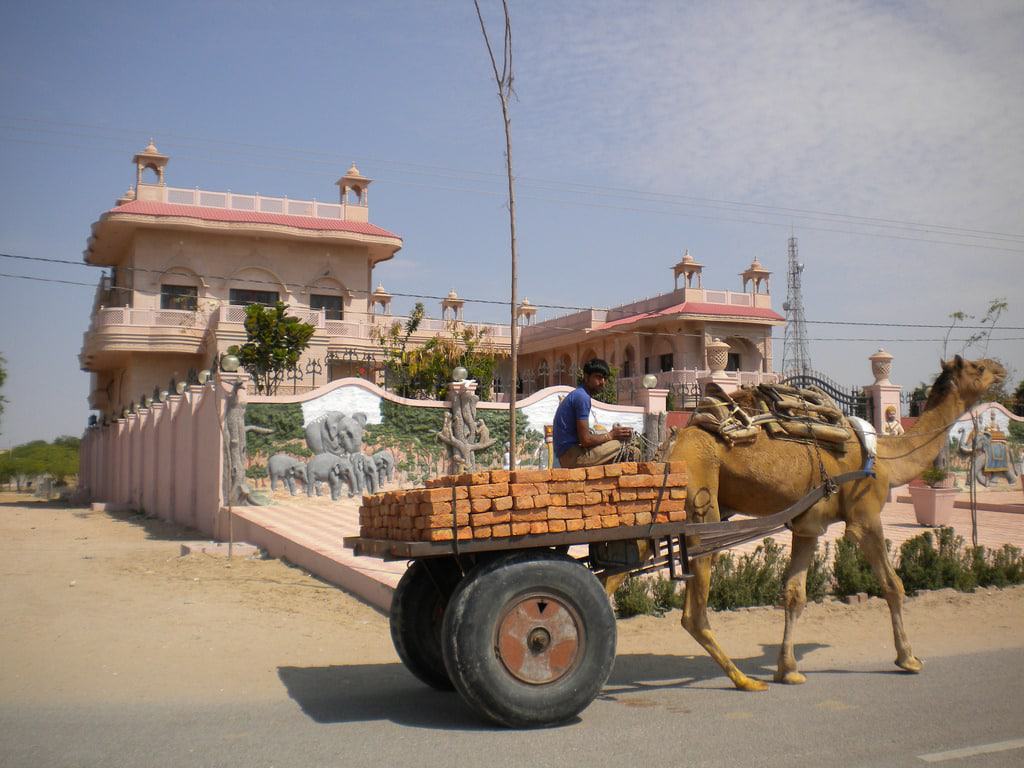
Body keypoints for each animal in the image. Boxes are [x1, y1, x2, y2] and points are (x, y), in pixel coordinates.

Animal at [663, 358, 1007, 696]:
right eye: (977, 368)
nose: (1000, 368)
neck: (885, 458)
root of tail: (674, 445)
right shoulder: (865, 516)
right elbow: (893, 584)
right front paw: (908, 658)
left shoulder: (808, 525)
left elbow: (795, 593)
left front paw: (788, 670)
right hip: (701, 499)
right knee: (694, 614)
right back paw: (744, 680)